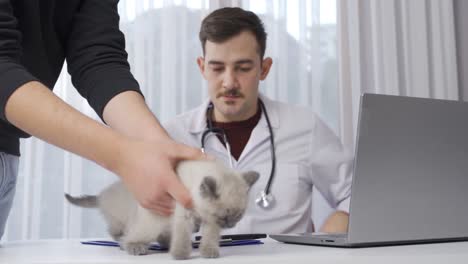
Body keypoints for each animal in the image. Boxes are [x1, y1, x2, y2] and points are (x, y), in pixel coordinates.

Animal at [65, 160, 260, 258]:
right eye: (225, 216)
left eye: (239, 215)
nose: (230, 225)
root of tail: (103, 195)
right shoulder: (184, 215)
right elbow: (182, 237)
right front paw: (180, 255)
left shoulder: (210, 221)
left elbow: (210, 237)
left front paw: (208, 252)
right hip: (151, 223)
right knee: (125, 234)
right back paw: (132, 246)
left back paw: (165, 245)